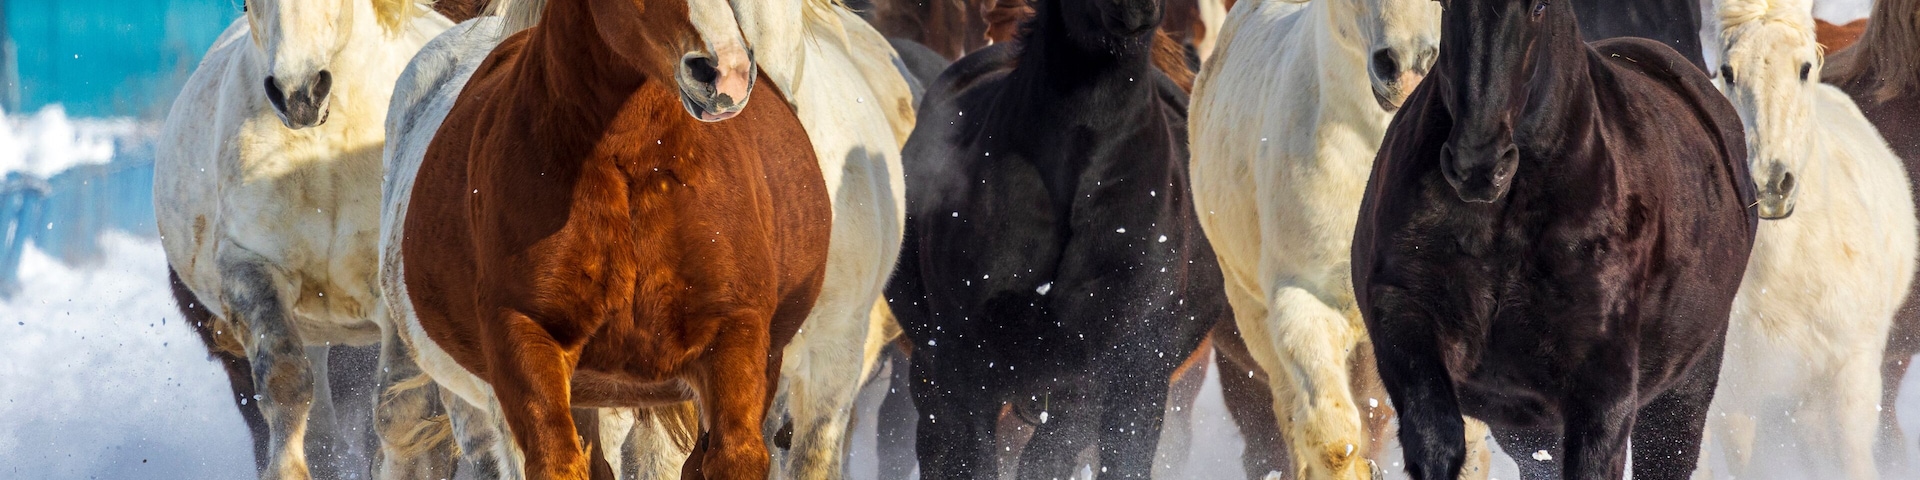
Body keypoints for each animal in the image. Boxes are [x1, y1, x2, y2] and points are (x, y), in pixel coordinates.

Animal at [153, 1, 450, 478]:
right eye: (246, 3)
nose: (299, 94)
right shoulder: (252, 269)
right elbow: (286, 386)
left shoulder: (395, 294)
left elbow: (403, 412)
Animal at [377, 0, 832, 475]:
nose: (725, 73)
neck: (634, 161)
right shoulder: (523, 339)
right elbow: (557, 462)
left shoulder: (735, 332)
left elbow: (733, 457)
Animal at [1352, 0, 1757, 478]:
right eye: (1447, 5)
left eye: (1540, 8)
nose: (1478, 165)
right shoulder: (1405, 315)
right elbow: (1436, 440)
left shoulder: (1604, 384)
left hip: (1683, 393)